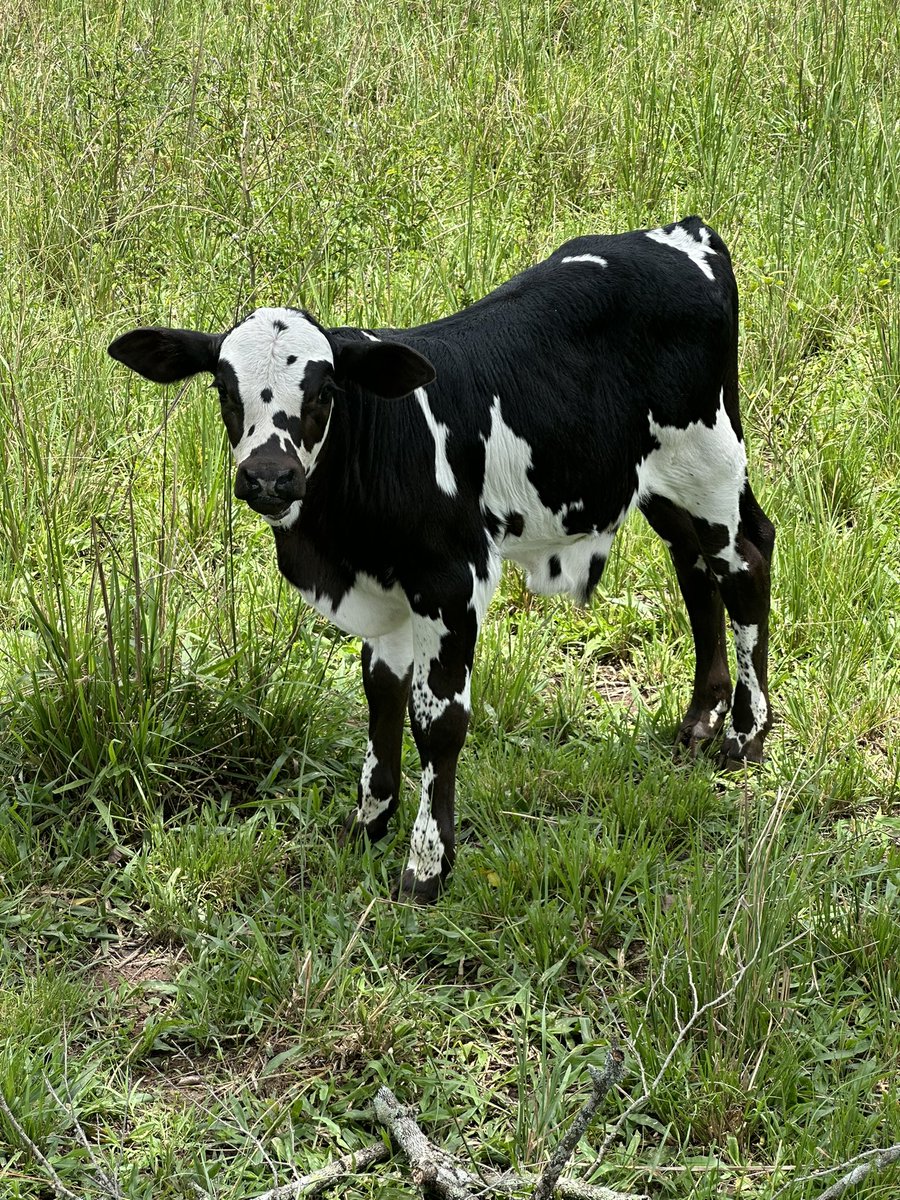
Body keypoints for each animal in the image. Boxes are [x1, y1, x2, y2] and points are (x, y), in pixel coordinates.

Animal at [108, 217, 774, 903]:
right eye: (223, 388)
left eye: (324, 390)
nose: (269, 476)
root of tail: (680, 231)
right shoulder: (388, 591)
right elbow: (382, 696)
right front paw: (369, 821)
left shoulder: (451, 583)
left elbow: (438, 721)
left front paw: (427, 863)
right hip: (659, 483)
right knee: (695, 570)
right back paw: (701, 719)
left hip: (710, 464)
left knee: (744, 562)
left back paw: (745, 732)